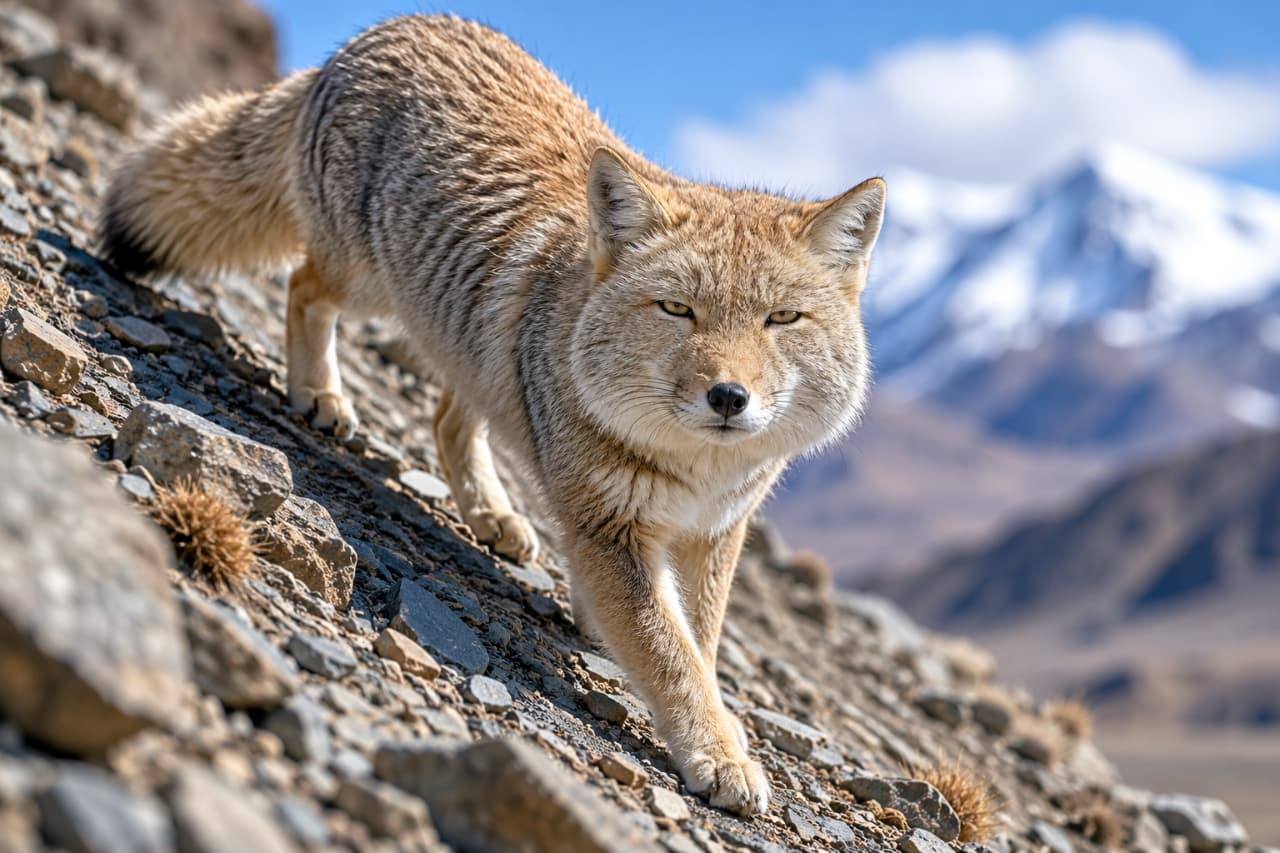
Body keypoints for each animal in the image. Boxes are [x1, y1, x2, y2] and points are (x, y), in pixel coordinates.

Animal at [100, 15, 884, 815]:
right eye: (677, 310)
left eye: (781, 319)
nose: (728, 397)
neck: (698, 471)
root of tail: (385, 30)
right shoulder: (611, 528)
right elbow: (672, 654)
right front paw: (719, 751)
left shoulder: (714, 532)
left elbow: (697, 638)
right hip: (367, 281)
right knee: (302, 288)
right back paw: (321, 394)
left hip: (467, 343)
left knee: (449, 415)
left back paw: (491, 514)